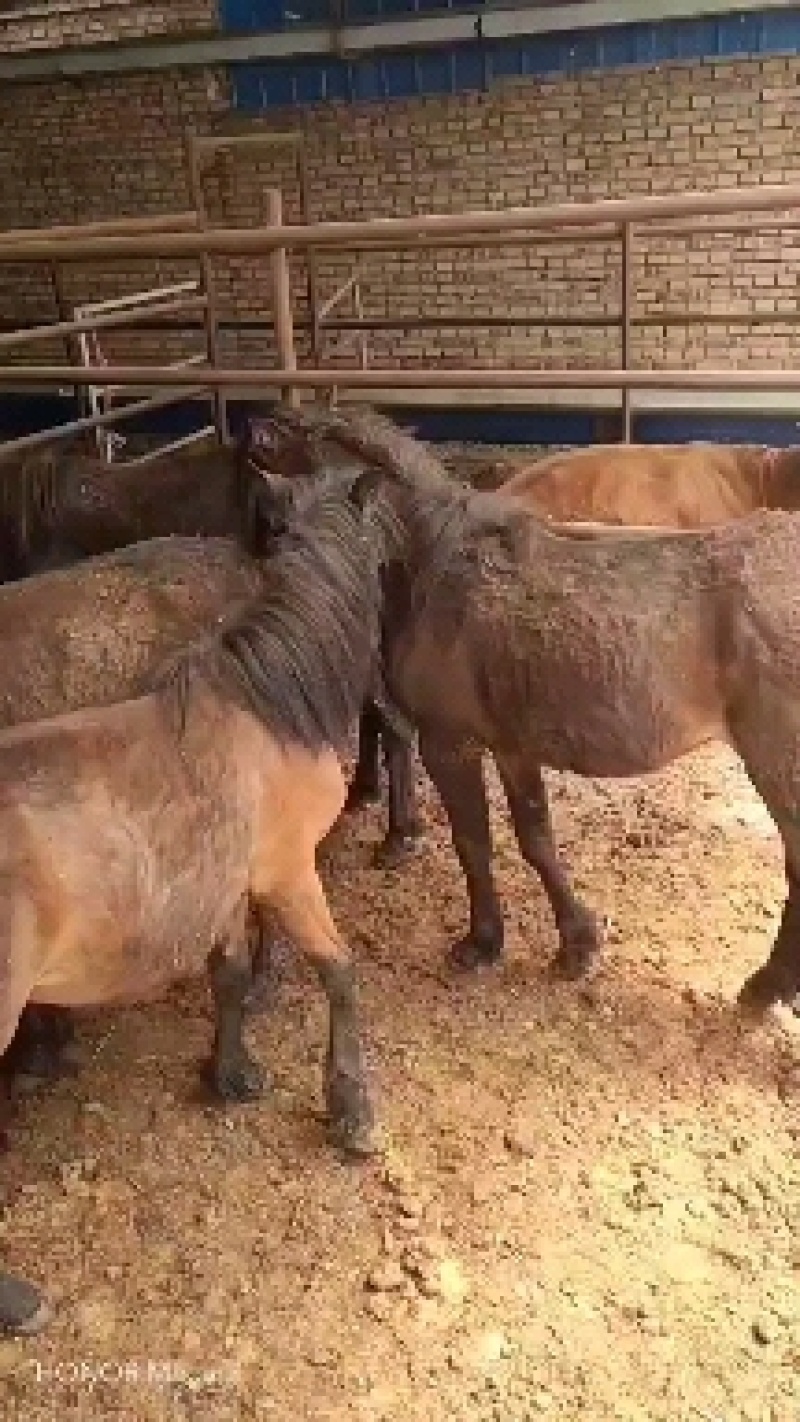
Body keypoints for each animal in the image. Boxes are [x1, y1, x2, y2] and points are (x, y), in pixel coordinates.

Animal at [0, 467, 385, 1335]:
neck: (262, 709)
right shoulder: (288, 873)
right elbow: (340, 974)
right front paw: (351, 1109)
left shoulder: (229, 886)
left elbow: (231, 978)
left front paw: (231, 1074)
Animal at [253, 451, 800, 1020]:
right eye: (275, 533)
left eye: (342, 540)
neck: (436, 576)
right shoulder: (513, 746)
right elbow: (537, 840)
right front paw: (578, 944)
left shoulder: (450, 744)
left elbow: (473, 843)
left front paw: (482, 942)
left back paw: (766, 987)